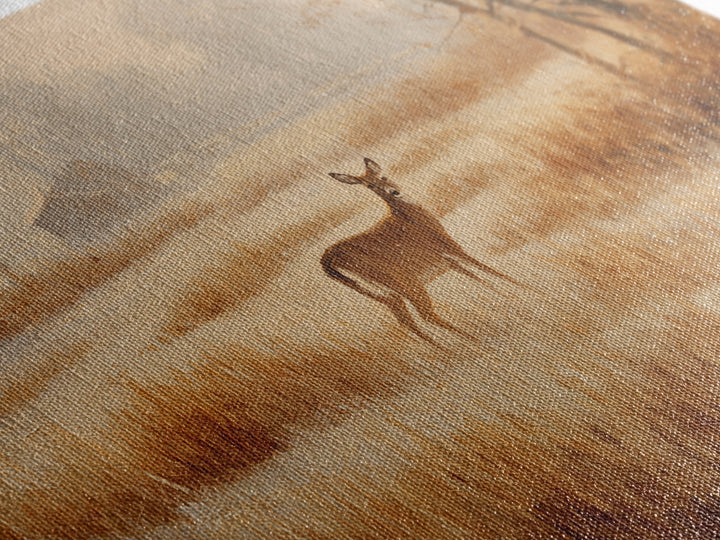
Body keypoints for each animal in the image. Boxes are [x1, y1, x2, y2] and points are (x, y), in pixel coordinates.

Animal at [321, 158, 519, 347]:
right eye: (370, 186)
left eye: (383, 177)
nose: (394, 191)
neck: (413, 220)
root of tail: (327, 261)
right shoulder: (452, 249)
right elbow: (491, 271)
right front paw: (524, 289)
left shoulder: (448, 262)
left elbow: (481, 278)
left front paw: (507, 296)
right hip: (404, 282)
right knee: (426, 314)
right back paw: (474, 342)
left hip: (383, 294)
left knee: (406, 321)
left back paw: (447, 349)